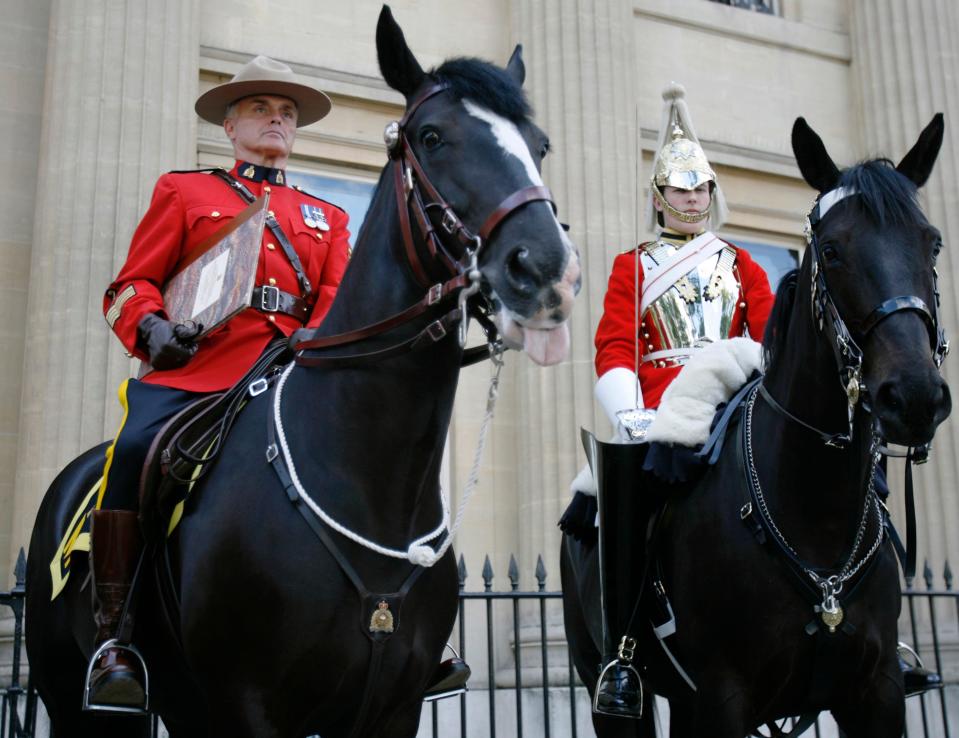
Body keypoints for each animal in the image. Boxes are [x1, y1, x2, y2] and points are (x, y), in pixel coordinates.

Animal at [26, 7, 580, 736]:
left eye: (540, 145)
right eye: (431, 137)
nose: (546, 268)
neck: (372, 482)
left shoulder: (392, 708)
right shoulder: (250, 703)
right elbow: (130, 284)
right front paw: (169, 335)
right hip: (73, 695)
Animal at [564, 116, 952, 736]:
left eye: (932, 241)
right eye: (832, 250)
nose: (914, 396)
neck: (815, 512)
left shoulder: (878, 693)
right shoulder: (720, 698)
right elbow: (614, 344)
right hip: (608, 682)